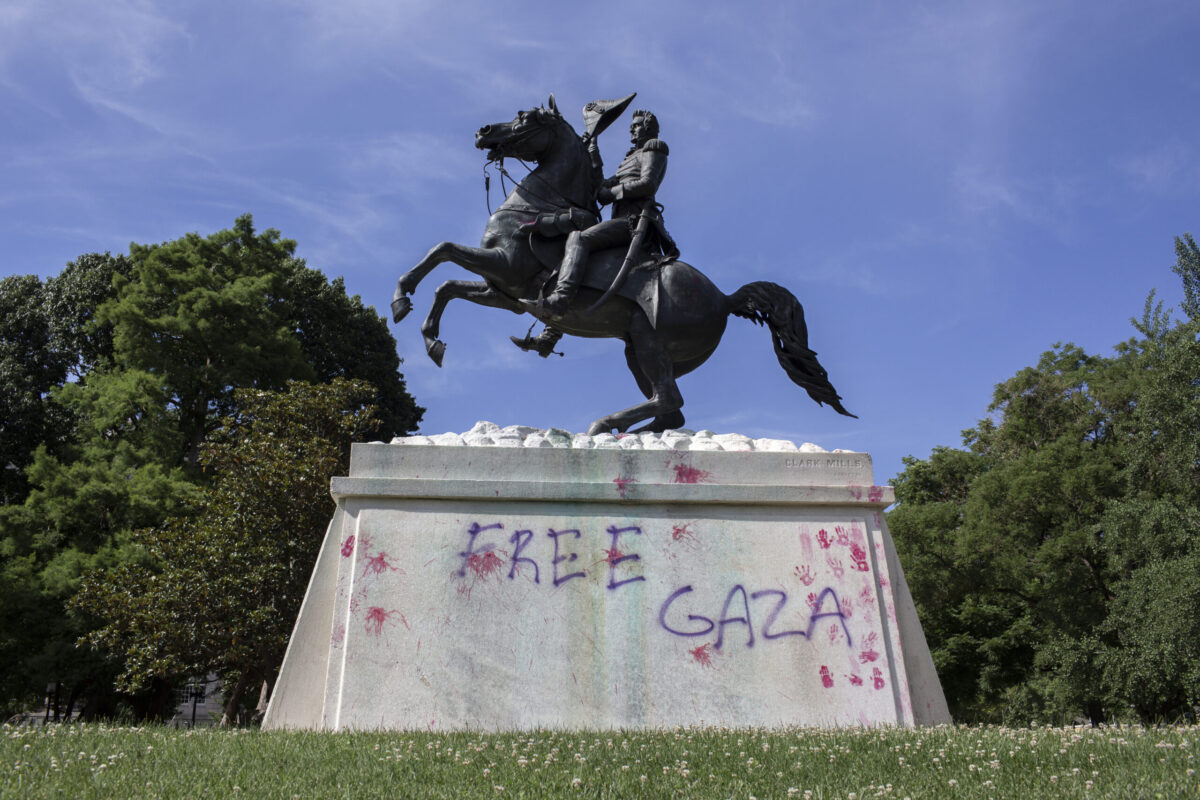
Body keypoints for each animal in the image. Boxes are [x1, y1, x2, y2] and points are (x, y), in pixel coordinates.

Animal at [391, 95, 854, 434]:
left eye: (526, 117)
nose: (483, 131)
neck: (540, 205)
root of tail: (724, 299)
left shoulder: (506, 267)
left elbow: (442, 250)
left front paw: (401, 298)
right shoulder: (503, 292)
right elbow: (447, 284)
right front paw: (430, 338)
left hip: (648, 341)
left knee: (669, 399)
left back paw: (603, 425)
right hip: (637, 350)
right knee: (671, 411)